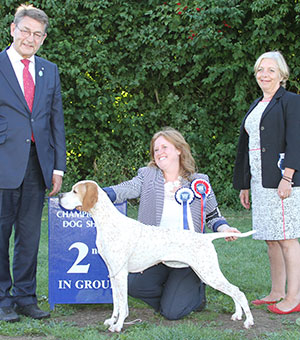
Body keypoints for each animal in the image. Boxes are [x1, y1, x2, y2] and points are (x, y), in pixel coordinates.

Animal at [59, 181, 255, 332]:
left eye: (75, 191)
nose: (59, 195)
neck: (108, 223)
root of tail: (205, 237)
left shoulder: (121, 274)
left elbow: (122, 305)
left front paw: (119, 325)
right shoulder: (113, 274)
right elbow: (117, 302)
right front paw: (112, 320)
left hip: (209, 273)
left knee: (237, 292)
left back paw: (248, 320)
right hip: (207, 273)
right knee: (233, 292)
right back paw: (237, 315)